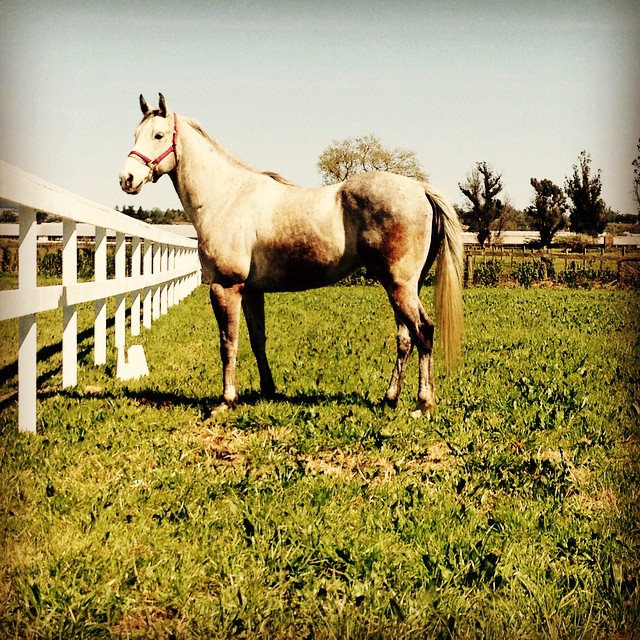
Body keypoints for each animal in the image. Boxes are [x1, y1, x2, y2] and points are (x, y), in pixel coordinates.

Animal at [117, 94, 462, 416]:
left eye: (158, 135)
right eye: (135, 134)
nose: (127, 179)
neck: (226, 197)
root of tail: (420, 189)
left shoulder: (225, 287)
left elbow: (228, 342)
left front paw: (227, 400)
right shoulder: (251, 291)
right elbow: (257, 339)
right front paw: (268, 390)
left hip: (399, 285)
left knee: (423, 332)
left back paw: (422, 403)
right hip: (401, 287)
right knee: (405, 338)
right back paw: (390, 398)